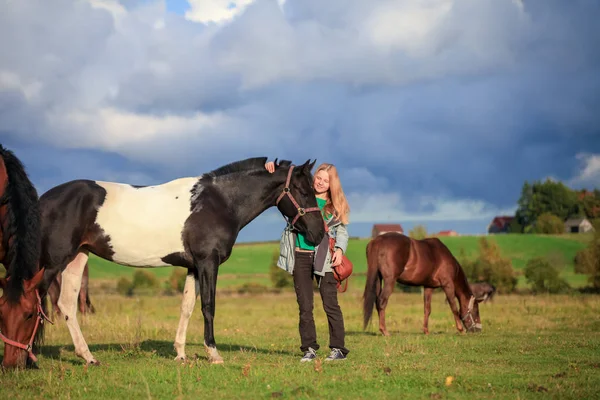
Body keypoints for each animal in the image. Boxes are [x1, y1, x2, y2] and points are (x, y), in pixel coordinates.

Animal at [38, 157, 324, 366]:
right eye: (302, 190)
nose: (319, 234)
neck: (219, 202)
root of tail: (44, 199)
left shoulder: (193, 267)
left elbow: (187, 307)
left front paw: (181, 353)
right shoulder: (208, 262)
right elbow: (208, 306)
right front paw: (214, 354)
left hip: (78, 258)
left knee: (66, 305)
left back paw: (88, 357)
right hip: (53, 263)